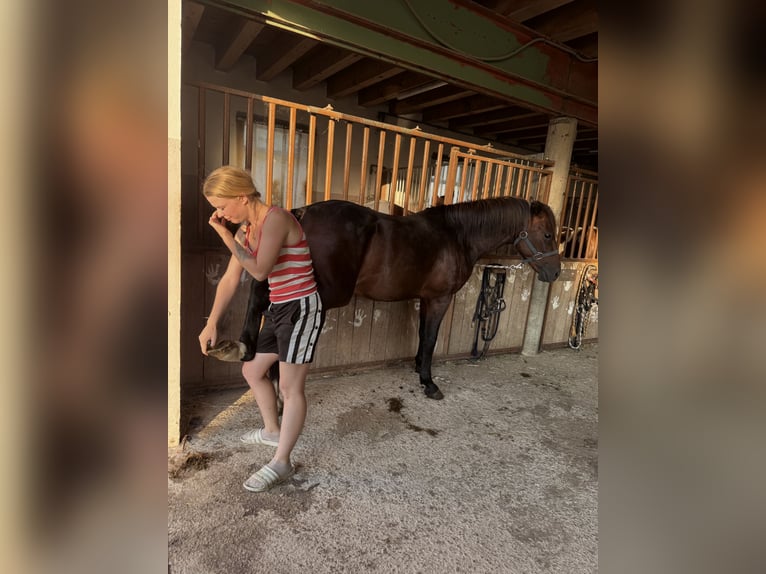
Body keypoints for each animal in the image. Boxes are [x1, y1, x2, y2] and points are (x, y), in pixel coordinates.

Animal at [219, 197, 561, 400]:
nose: (555, 273)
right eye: (547, 235)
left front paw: (418, 368)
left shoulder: (425, 299)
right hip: (322, 294)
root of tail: (301, 215)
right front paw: (429, 383)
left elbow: (423, 335)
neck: (457, 235)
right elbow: (431, 338)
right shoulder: (440, 299)